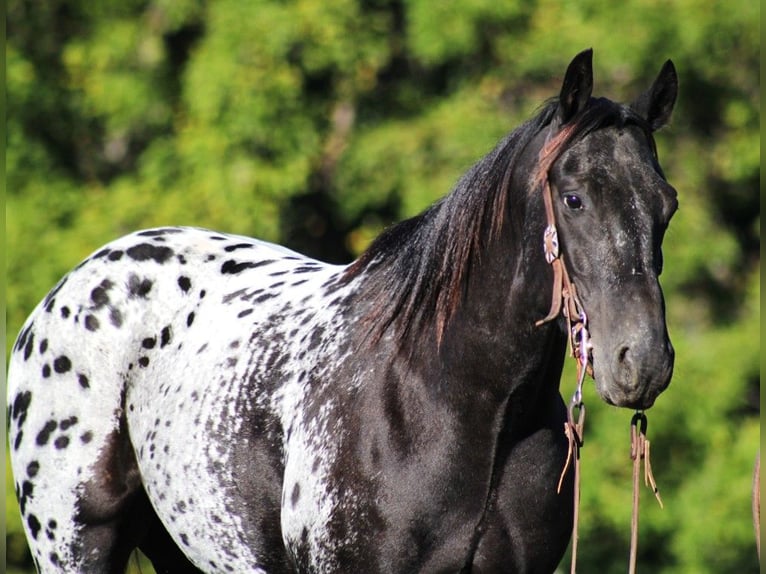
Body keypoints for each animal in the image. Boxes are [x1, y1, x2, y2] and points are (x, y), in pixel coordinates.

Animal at [6, 50, 680, 574]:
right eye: (574, 198)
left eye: (667, 204)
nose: (642, 362)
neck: (456, 401)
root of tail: (64, 295)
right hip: (74, 545)